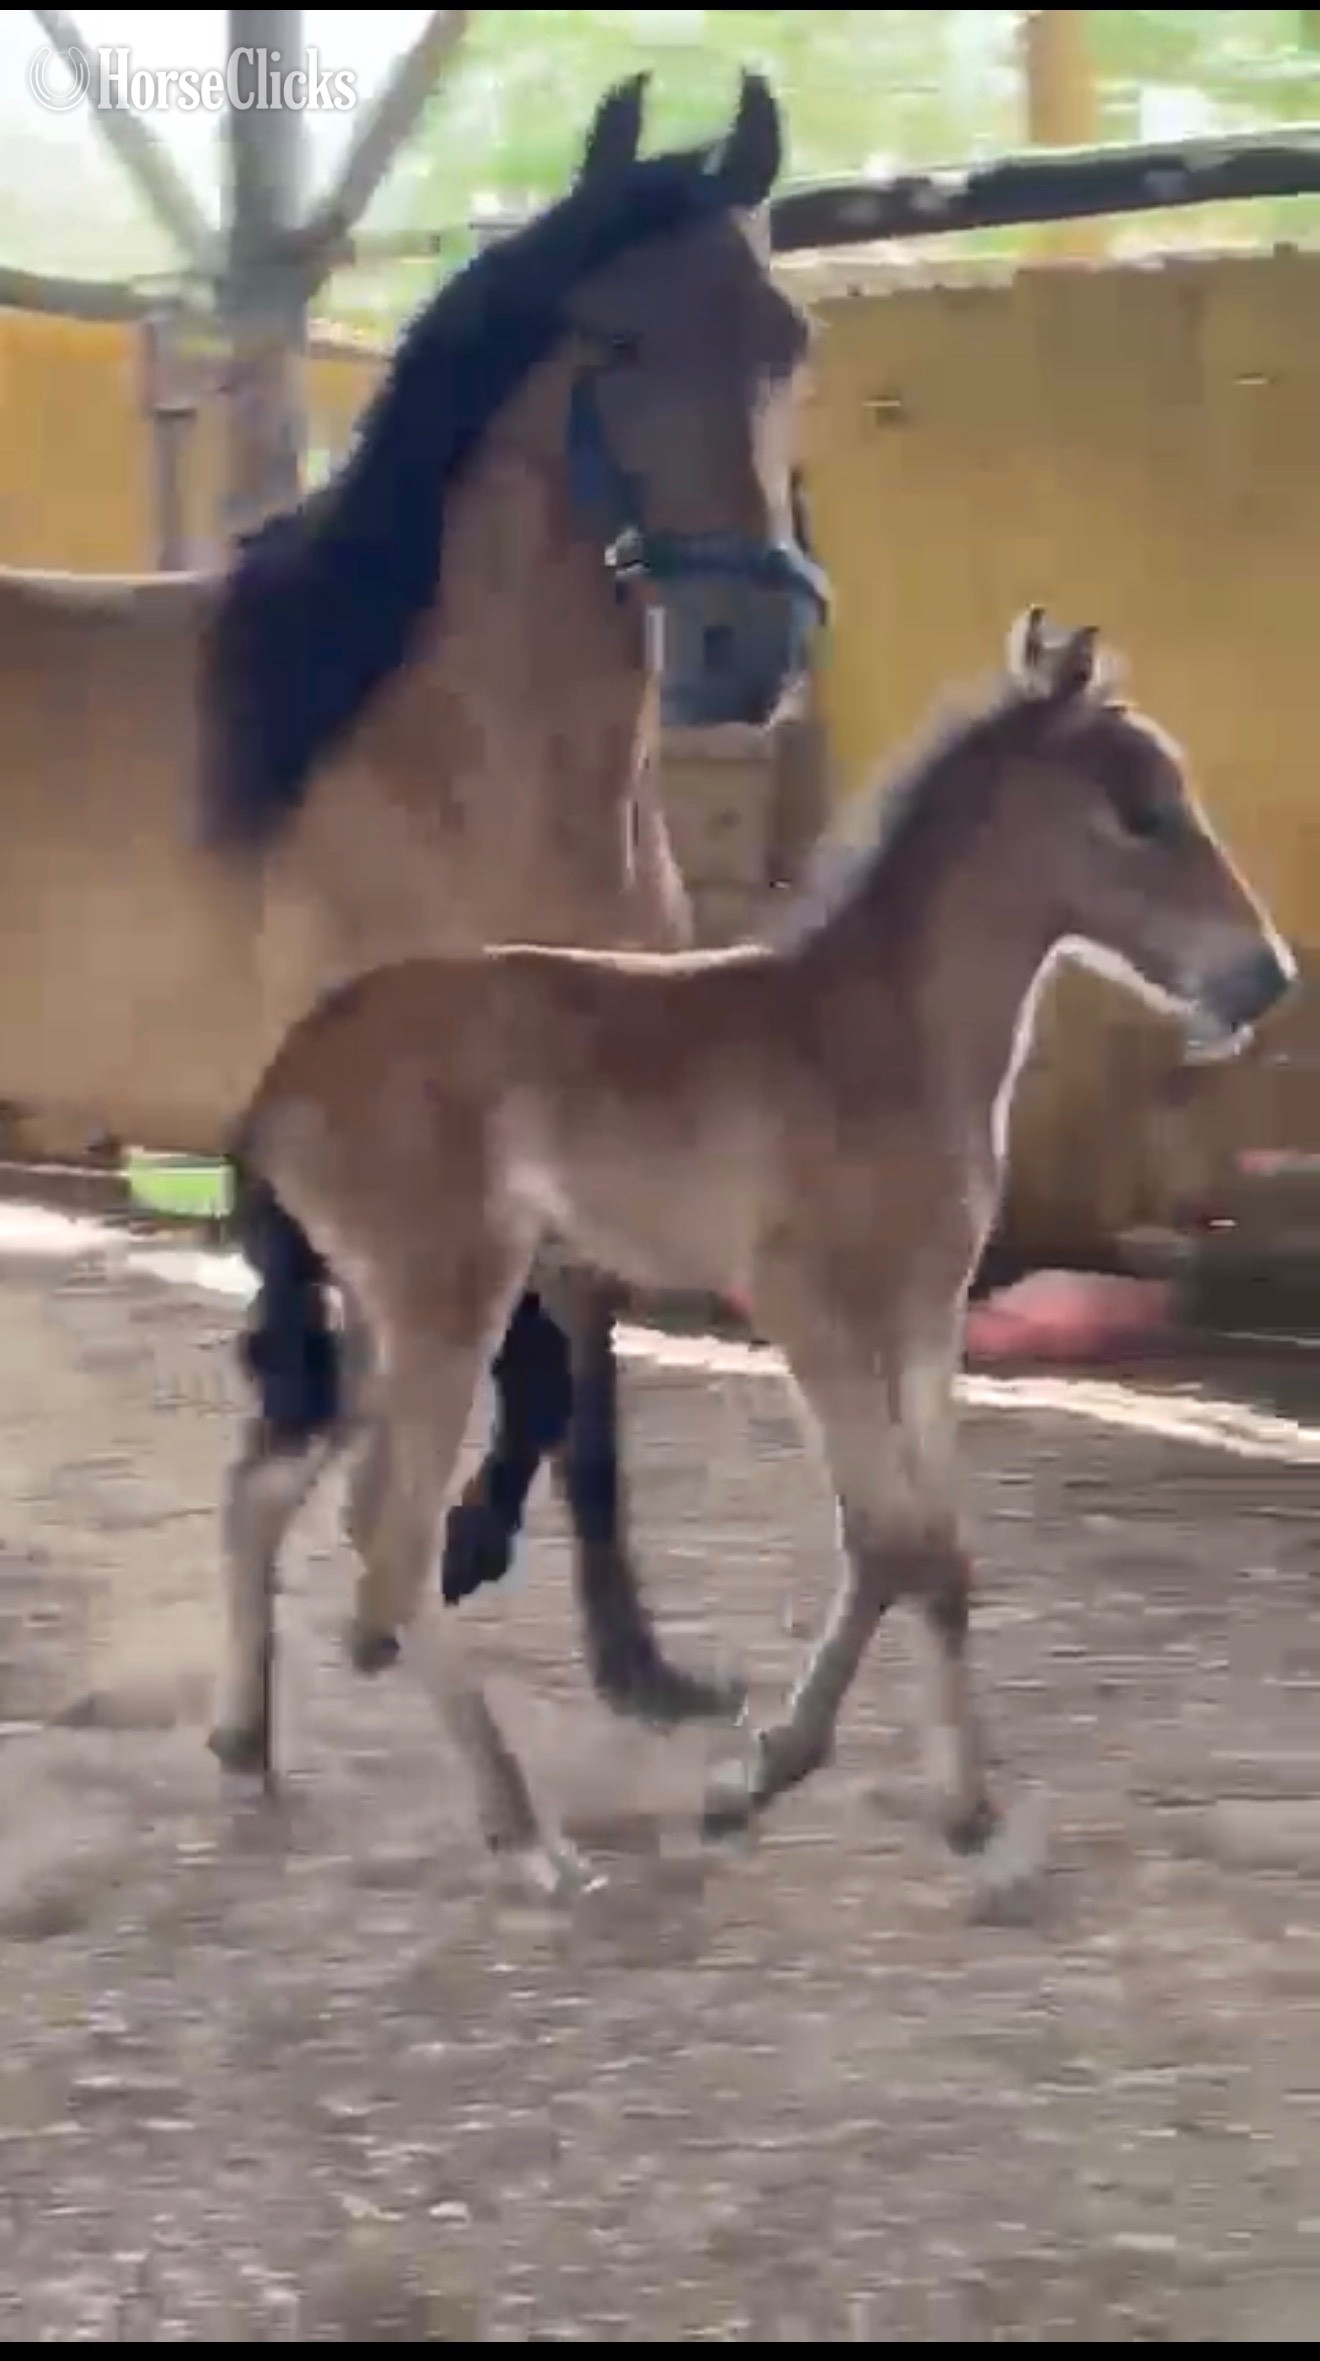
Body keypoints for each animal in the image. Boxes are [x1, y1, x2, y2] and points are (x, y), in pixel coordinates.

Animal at [0, 71, 827, 1737]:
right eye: (614, 341)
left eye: (787, 338)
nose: (743, 648)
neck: (450, 758)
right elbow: (485, 1379)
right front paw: (427, 1571)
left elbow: (580, 1396)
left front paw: (635, 1659)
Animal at [220, 607, 1297, 1893]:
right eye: (1139, 812)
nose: (1264, 978)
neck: (884, 1034)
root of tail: (281, 1079)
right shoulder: (807, 1304)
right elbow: (891, 1544)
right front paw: (765, 1779)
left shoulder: (924, 1312)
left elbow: (941, 1558)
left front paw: (964, 1809)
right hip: (448, 1302)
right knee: (391, 1538)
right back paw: (525, 1836)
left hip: (384, 1315)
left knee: (266, 1488)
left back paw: (247, 1745)